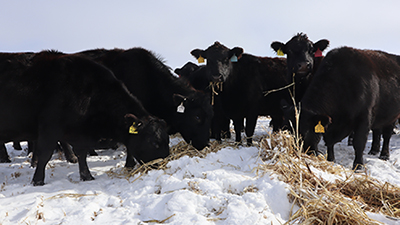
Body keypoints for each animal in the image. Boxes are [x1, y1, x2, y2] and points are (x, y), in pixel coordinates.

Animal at [0, 51, 170, 186]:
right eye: (153, 143)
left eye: (167, 140)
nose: (164, 164)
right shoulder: (50, 127)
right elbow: (45, 154)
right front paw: (38, 180)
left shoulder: (79, 133)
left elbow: (82, 154)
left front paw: (87, 176)